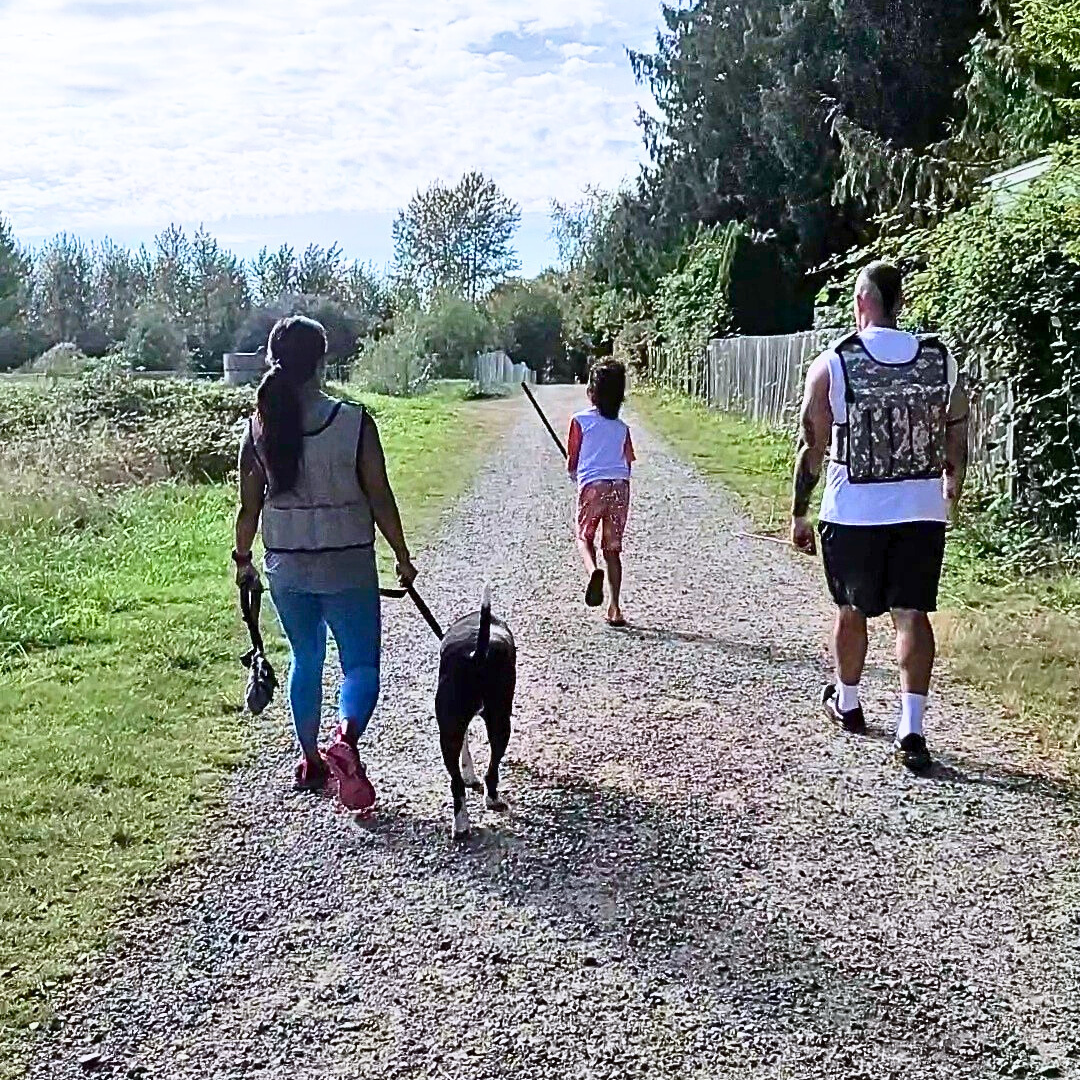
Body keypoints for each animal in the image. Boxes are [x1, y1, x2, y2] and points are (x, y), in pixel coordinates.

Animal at [436, 587, 516, 838]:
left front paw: (468, 774)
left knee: (457, 783)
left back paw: (462, 824)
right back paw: (491, 801)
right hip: (500, 723)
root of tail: (477, 652)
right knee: (490, 771)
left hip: (452, 730)